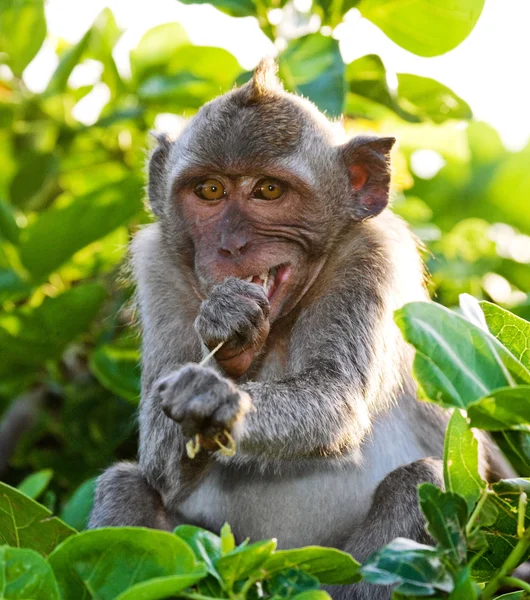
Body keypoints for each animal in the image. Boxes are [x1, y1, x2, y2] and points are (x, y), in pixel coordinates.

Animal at [89, 58, 504, 596]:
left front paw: (220, 400)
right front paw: (225, 334)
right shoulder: (157, 263)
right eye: (210, 190)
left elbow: (336, 397)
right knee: (124, 484)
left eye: (268, 190)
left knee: (421, 483)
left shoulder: (370, 258)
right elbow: (160, 465)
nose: (230, 245)